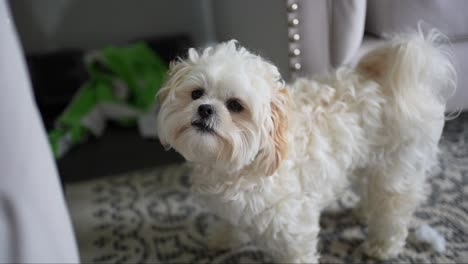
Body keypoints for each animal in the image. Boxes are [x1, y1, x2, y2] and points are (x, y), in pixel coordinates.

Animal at [155, 30, 456, 262]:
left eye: (235, 105)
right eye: (196, 93)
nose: (205, 109)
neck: (240, 166)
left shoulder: (293, 228)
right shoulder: (230, 208)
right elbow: (230, 223)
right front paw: (223, 239)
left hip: (396, 170)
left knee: (394, 209)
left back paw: (383, 245)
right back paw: (364, 211)